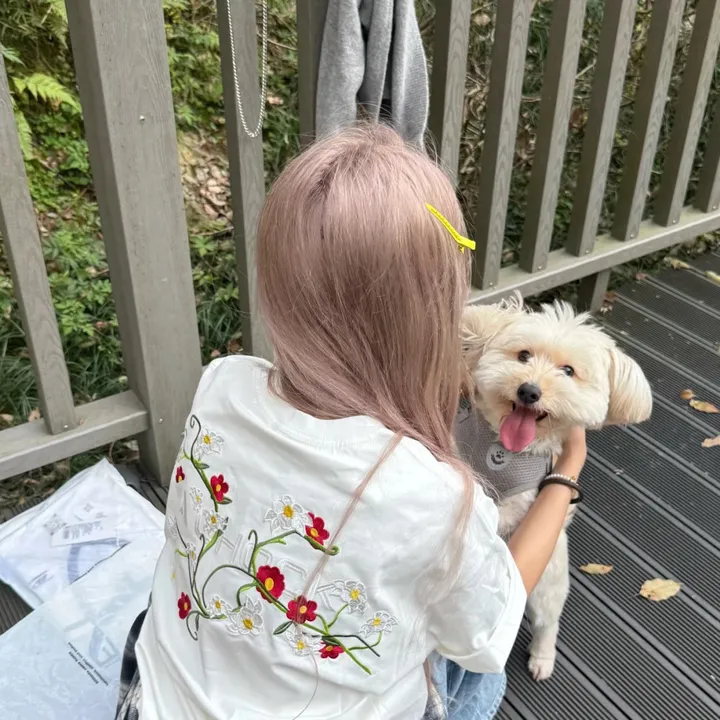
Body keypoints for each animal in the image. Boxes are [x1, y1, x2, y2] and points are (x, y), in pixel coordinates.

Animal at [457, 292, 652, 681]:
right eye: (523, 355)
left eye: (568, 371)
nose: (529, 391)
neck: (503, 450)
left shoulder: (519, 505)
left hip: (548, 579)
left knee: (549, 621)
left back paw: (542, 658)